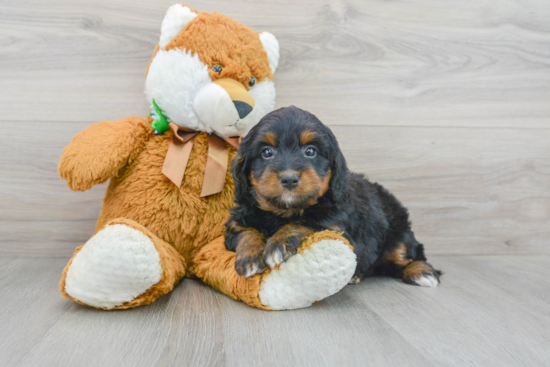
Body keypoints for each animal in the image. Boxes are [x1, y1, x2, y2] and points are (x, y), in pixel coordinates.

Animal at [225, 106, 444, 288]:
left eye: (310, 151)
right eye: (267, 152)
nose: (289, 179)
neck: (282, 212)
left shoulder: (336, 225)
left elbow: (307, 221)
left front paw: (280, 242)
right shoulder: (237, 221)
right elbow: (245, 231)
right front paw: (250, 256)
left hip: (398, 235)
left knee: (408, 256)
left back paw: (422, 272)